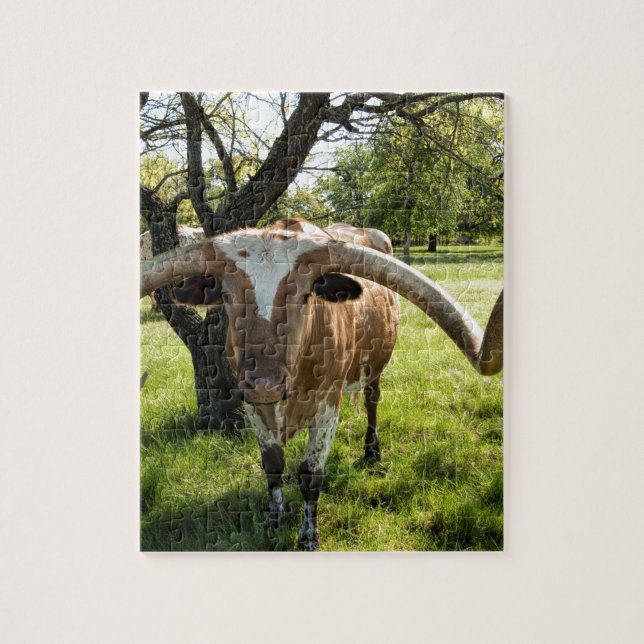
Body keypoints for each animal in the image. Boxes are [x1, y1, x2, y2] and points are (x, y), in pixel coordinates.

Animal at [140, 218, 503, 550]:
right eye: (227, 296)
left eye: (305, 295)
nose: (265, 383)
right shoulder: (253, 407)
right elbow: (273, 465)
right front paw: (274, 520)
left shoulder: (328, 406)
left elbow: (310, 476)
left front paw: (308, 535)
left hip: (374, 368)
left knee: (372, 400)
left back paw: (372, 451)